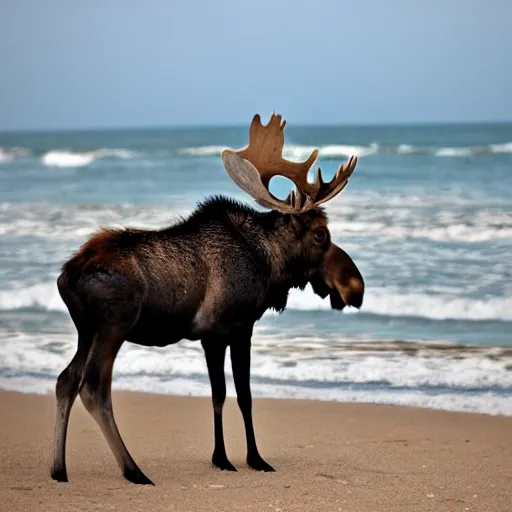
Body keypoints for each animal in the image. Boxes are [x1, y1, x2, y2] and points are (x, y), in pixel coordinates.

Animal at [51, 112, 364, 484]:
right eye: (321, 234)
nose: (355, 285)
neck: (269, 265)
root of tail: (67, 275)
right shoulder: (230, 330)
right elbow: (238, 395)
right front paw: (251, 458)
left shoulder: (215, 336)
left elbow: (222, 395)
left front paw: (225, 458)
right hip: (115, 324)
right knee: (94, 387)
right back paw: (133, 470)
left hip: (86, 329)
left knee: (66, 379)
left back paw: (59, 468)